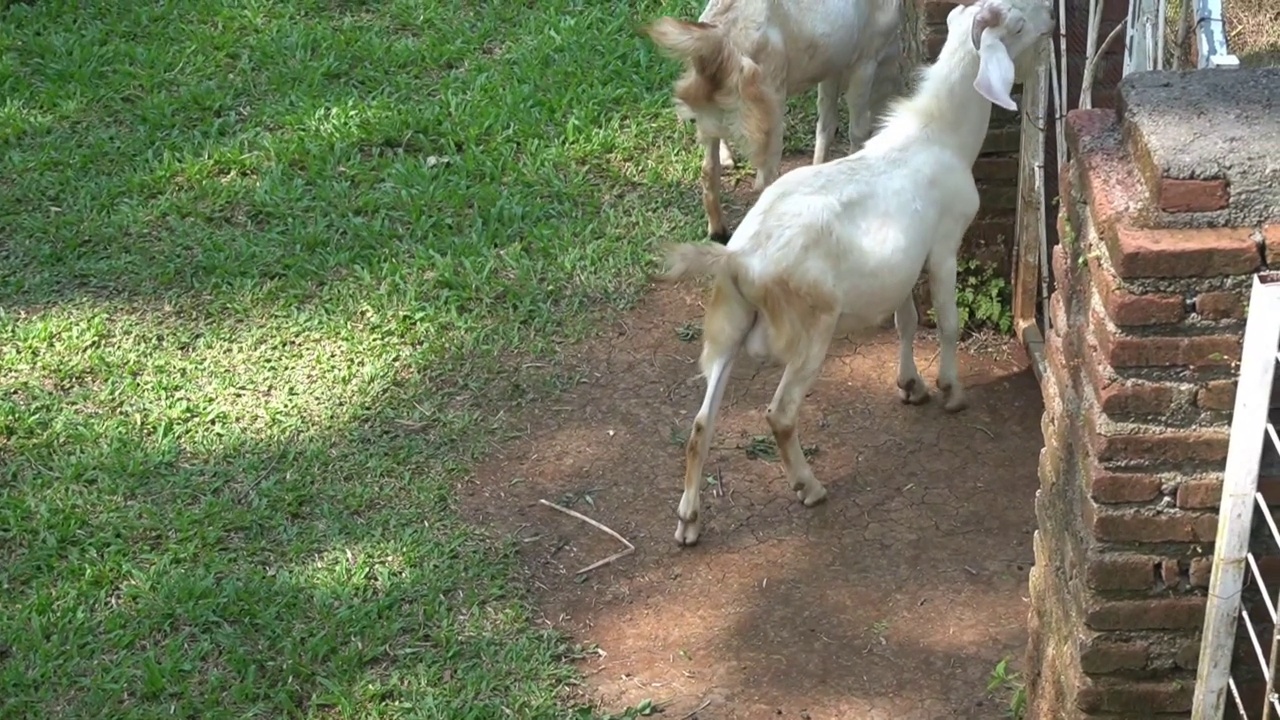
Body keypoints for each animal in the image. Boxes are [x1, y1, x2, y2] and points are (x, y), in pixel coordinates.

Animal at [645, 0, 906, 240]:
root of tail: (720, 35)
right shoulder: (866, 59)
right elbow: (858, 130)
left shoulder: (833, 64)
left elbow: (826, 122)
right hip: (770, 101)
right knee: (764, 178)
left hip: (710, 108)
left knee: (709, 169)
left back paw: (719, 231)